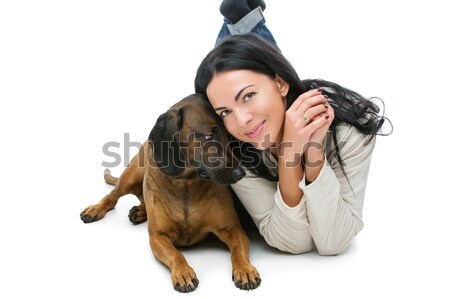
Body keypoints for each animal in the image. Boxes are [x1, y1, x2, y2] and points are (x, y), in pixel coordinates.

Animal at [81, 94, 260, 292]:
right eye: (208, 136)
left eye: (228, 135)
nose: (241, 173)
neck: (186, 184)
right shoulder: (157, 237)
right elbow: (175, 254)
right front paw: (183, 272)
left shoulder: (233, 229)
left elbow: (237, 249)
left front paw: (245, 269)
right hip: (131, 175)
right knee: (113, 196)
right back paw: (96, 209)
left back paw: (140, 211)